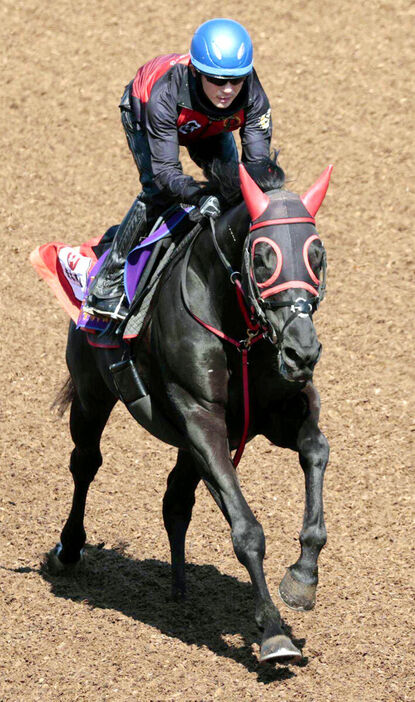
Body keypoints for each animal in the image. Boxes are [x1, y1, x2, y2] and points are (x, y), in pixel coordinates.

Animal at [47, 160, 334, 664]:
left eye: (317, 254)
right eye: (263, 256)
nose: (303, 351)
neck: (237, 329)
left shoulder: (269, 415)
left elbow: (317, 449)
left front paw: (302, 578)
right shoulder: (201, 418)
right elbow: (246, 529)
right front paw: (273, 633)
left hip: (184, 441)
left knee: (175, 498)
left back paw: (180, 588)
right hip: (90, 394)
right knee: (85, 463)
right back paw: (69, 549)